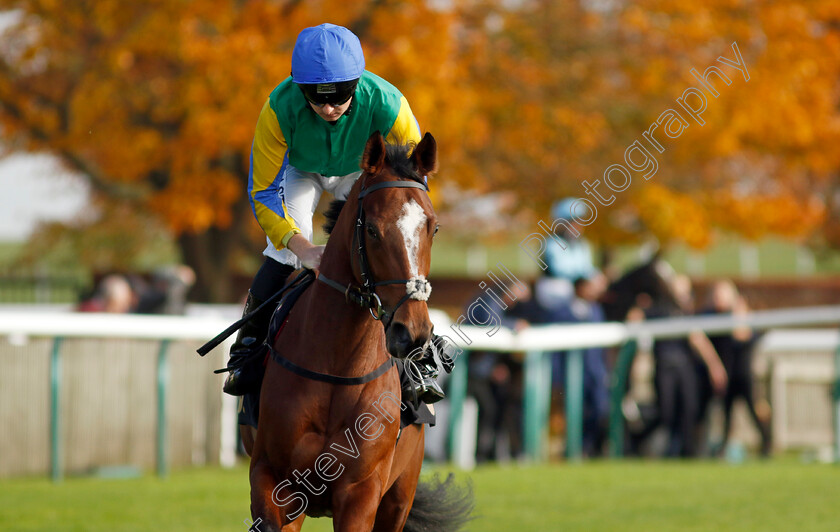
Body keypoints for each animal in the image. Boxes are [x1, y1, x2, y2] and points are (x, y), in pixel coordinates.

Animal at [243, 130, 472, 532]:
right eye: (373, 230)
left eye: (433, 227)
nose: (411, 332)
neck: (337, 368)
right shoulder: (271, 479)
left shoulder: (362, 492)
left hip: (400, 494)